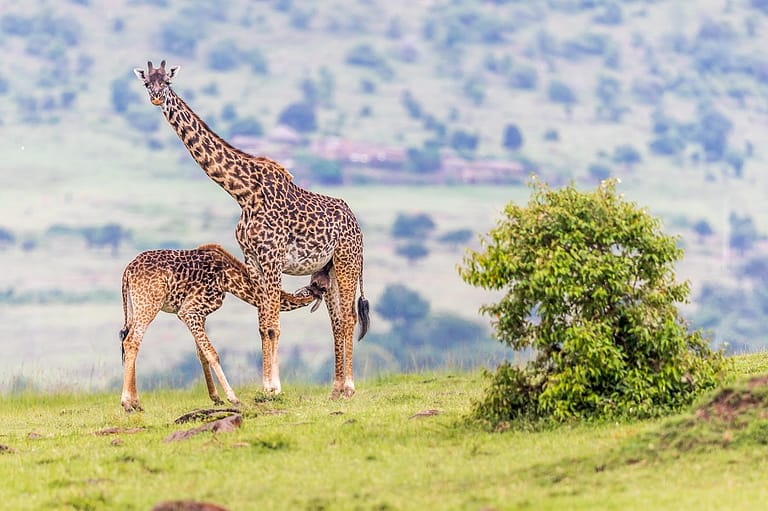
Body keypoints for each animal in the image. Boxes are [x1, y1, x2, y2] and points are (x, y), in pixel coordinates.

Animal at [118, 242, 328, 414]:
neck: (228, 279)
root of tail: (127, 271)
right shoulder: (189, 311)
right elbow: (212, 353)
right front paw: (233, 398)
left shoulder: (199, 314)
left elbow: (202, 354)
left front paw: (216, 398)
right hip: (149, 304)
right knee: (131, 342)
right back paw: (127, 403)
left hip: (137, 307)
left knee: (129, 341)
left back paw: (136, 403)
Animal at [135, 61, 368, 400]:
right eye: (146, 83)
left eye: (167, 82)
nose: (155, 98)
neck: (243, 192)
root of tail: (357, 224)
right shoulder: (254, 261)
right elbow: (262, 325)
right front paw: (266, 385)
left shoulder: (272, 258)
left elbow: (273, 324)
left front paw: (274, 387)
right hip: (328, 269)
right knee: (337, 320)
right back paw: (336, 388)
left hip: (347, 262)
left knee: (349, 317)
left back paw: (349, 387)